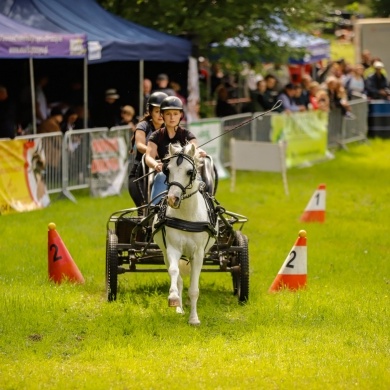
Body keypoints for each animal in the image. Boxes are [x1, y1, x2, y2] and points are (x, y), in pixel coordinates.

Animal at [152, 142, 218, 324]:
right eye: (167, 170)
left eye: (189, 172)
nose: (172, 199)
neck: (187, 216)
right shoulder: (172, 249)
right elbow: (175, 273)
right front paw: (174, 298)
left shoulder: (198, 254)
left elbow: (194, 288)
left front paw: (194, 319)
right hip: (165, 253)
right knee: (179, 278)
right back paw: (180, 306)